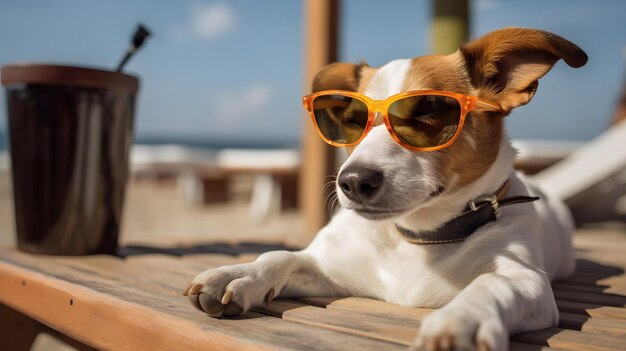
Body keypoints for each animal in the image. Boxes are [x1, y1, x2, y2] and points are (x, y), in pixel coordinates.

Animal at [182, 28, 584, 351]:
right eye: (352, 121)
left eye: (429, 112)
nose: (353, 182)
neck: (416, 237)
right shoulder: (333, 267)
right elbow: (282, 255)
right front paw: (241, 273)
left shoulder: (527, 280)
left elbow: (490, 283)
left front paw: (461, 320)